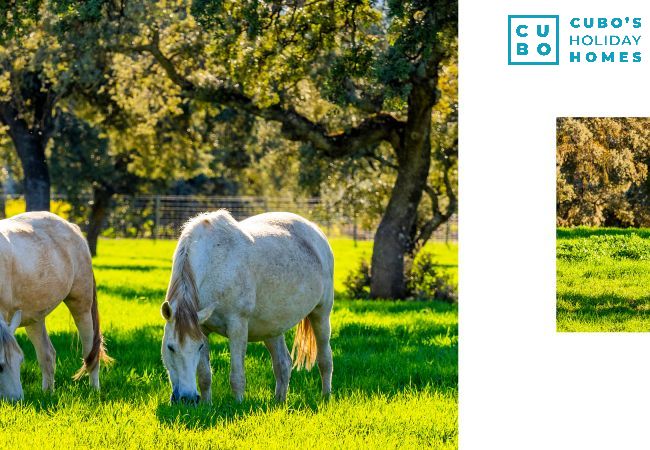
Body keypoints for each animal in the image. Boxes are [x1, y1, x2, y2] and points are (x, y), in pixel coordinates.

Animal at [0, 212, 110, 400]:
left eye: (20, 361)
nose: (16, 400)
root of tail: (72, 226)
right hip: (34, 317)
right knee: (47, 354)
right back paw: (48, 393)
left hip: (81, 304)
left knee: (90, 350)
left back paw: (94, 390)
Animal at [160, 211, 334, 404]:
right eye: (170, 347)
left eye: (197, 347)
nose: (188, 398)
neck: (214, 262)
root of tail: (315, 230)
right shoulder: (202, 328)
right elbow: (205, 376)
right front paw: (207, 404)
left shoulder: (237, 327)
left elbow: (237, 377)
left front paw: (238, 405)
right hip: (272, 328)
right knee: (283, 364)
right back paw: (279, 402)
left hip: (321, 314)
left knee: (325, 359)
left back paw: (326, 397)